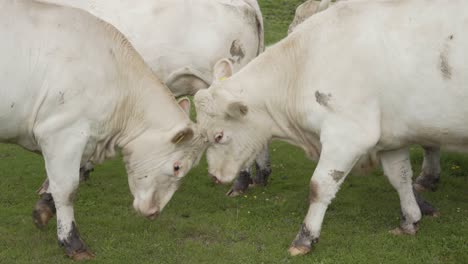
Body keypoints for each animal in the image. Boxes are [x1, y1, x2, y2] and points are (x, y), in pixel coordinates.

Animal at [1, 0, 206, 260]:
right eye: (177, 167)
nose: (153, 212)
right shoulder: (61, 134)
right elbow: (67, 189)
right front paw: (72, 242)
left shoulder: (81, 140)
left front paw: (43, 210)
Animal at [194, 0, 464, 256]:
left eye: (219, 135)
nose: (214, 176)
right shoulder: (391, 138)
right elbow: (401, 177)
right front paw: (410, 220)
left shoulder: (347, 136)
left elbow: (319, 187)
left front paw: (305, 238)